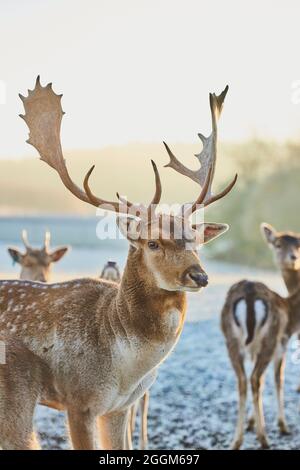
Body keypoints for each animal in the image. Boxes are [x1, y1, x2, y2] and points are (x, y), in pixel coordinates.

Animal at [0, 78, 237, 452]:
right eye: (152, 242)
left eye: (196, 242)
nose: (198, 275)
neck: (124, 367)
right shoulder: (79, 400)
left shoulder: (120, 406)